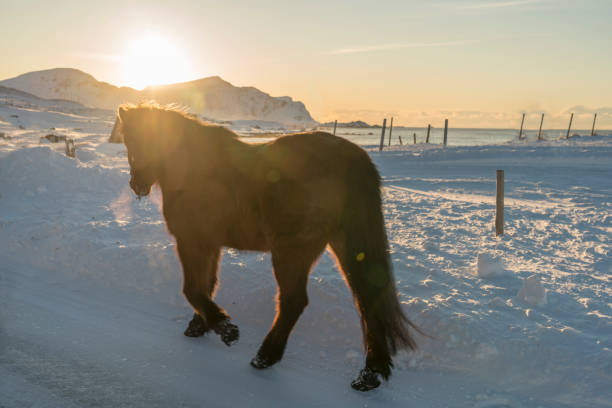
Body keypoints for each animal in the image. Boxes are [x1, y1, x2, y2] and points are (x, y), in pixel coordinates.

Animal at [117, 103, 418, 390]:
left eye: (134, 139)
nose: (137, 185)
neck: (194, 169)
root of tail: (351, 159)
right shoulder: (210, 244)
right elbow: (207, 285)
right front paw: (200, 325)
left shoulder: (191, 241)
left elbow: (192, 289)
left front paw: (225, 328)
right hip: (346, 248)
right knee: (367, 302)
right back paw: (370, 374)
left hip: (291, 252)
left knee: (294, 302)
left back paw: (266, 356)